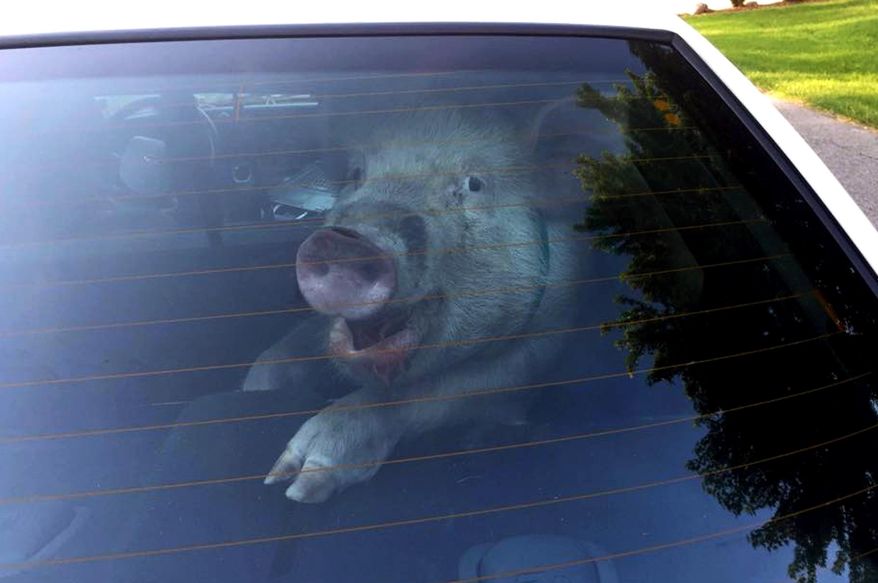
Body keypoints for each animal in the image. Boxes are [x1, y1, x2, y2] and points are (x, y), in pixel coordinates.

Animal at [242, 111, 582, 503]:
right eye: (356, 173)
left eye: (474, 184)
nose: (345, 241)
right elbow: (282, 353)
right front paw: (255, 392)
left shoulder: (547, 338)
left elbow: (442, 391)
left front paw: (296, 484)